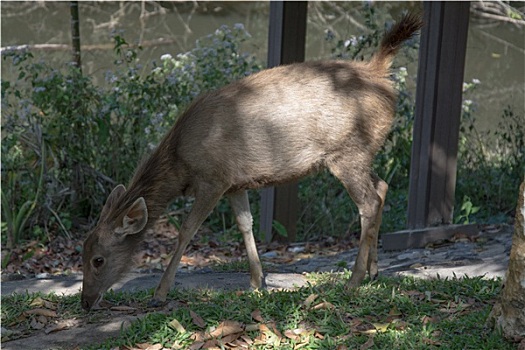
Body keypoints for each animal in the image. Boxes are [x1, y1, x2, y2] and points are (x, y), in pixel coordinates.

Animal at [81, 13, 422, 312]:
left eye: (98, 259)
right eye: (82, 252)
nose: (85, 302)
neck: (179, 164)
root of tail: (380, 73)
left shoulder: (213, 178)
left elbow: (187, 230)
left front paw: (160, 294)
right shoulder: (235, 183)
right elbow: (246, 224)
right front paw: (257, 282)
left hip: (346, 151)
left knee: (368, 202)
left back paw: (354, 280)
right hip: (362, 152)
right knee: (382, 186)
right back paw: (374, 271)